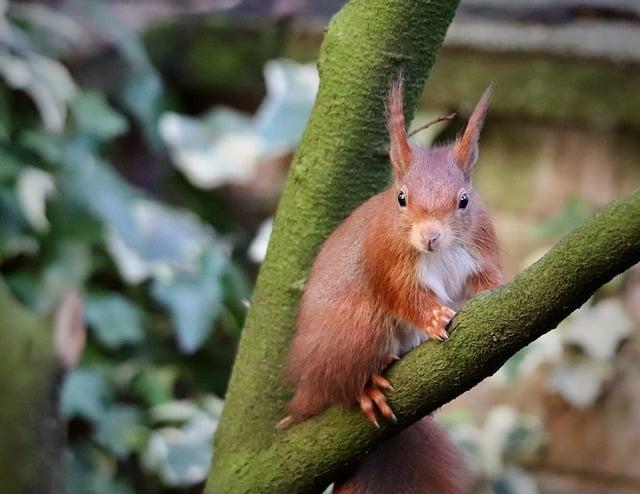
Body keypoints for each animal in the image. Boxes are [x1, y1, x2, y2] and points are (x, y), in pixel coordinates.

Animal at [282, 79, 502, 492]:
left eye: (464, 201)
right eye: (401, 198)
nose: (430, 237)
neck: (438, 252)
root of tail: (304, 392)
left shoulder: (481, 249)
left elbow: (487, 282)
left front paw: (493, 295)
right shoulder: (388, 261)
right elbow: (404, 296)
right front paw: (434, 318)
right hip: (356, 329)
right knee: (339, 385)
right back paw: (365, 388)